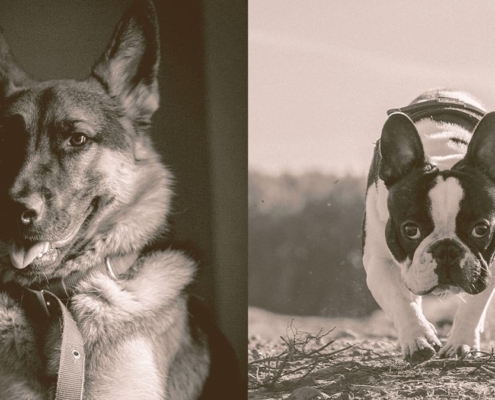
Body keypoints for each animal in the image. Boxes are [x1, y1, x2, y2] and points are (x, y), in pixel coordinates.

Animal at [362, 89, 495, 364]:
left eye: (481, 229)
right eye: (410, 230)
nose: (446, 250)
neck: (443, 150)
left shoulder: (485, 267)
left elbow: (474, 306)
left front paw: (462, 343)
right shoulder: (379, 262)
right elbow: (400, 299)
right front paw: (418, 337)